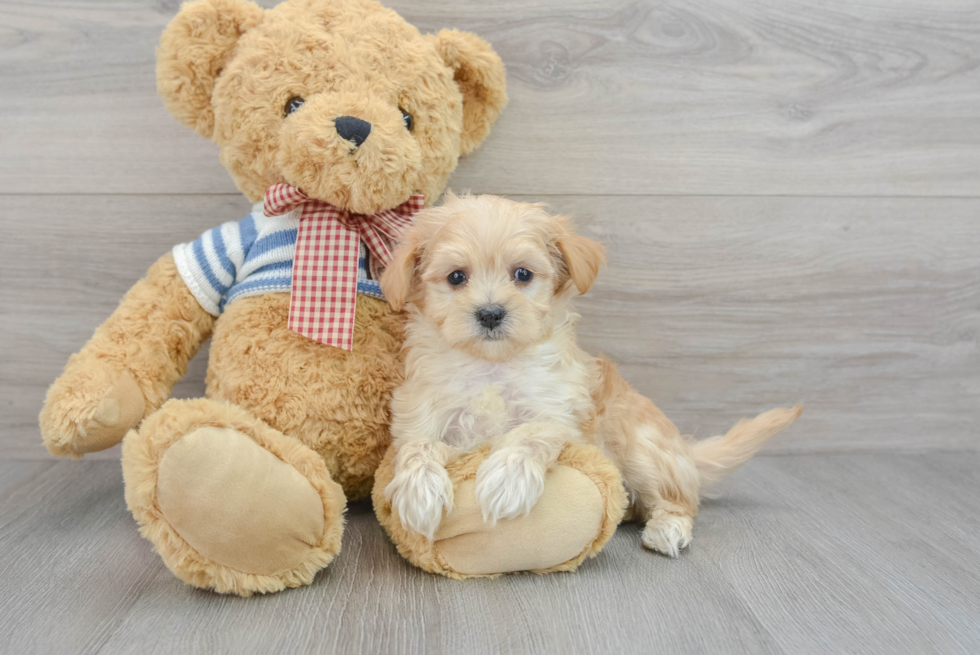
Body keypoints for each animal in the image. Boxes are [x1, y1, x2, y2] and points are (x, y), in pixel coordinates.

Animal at [378, 192, 800, 556]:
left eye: (522, 274)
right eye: (456, 278)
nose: (491, 313)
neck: (493, 366)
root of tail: (684, 453)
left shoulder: (561, 411)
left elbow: (530, 433)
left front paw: (508, 479)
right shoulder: (422, 415)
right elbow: (417, 447)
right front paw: (419, 491)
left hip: (640, 449)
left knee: (678, 500)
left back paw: (667, 528)